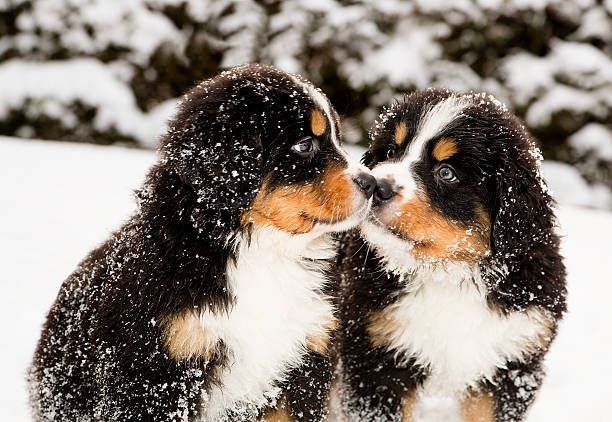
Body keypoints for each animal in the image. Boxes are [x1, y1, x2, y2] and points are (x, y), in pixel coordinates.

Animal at [31, 63, 376, 422]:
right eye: (305, 145)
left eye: (337, 138)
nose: (372, 183)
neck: (263, 253)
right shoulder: (161, 371)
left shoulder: (305, 361)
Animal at [338, 87, 568, 420]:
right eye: (391, 151)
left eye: (446, 173)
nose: (377, 185)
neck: (448, 274)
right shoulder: (376, 357)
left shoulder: (512, 362)